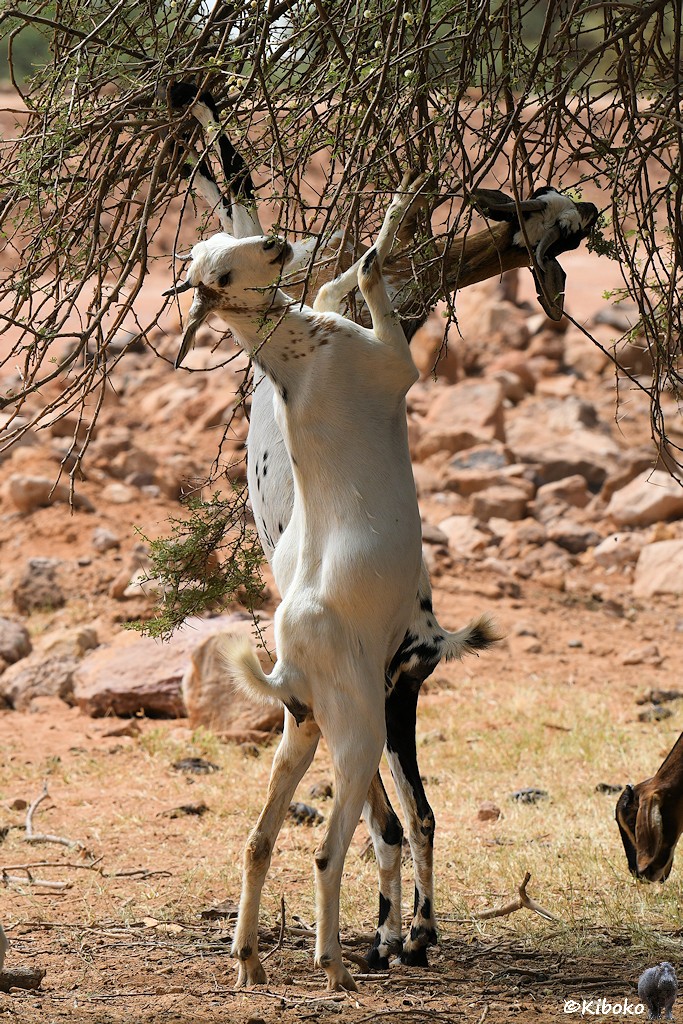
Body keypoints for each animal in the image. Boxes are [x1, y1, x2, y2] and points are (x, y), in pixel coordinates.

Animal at [167, 83, 597, 976]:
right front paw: (401, 205)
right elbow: (363, 270)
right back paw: (355, 955)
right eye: (217, 269)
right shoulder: (395, 362)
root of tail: (288, 657)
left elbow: (339, 277)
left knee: (263, 841)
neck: (300, 361)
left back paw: (257, 960)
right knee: (361, 834)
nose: (277, 241)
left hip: (302, 734)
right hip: (365, 727)